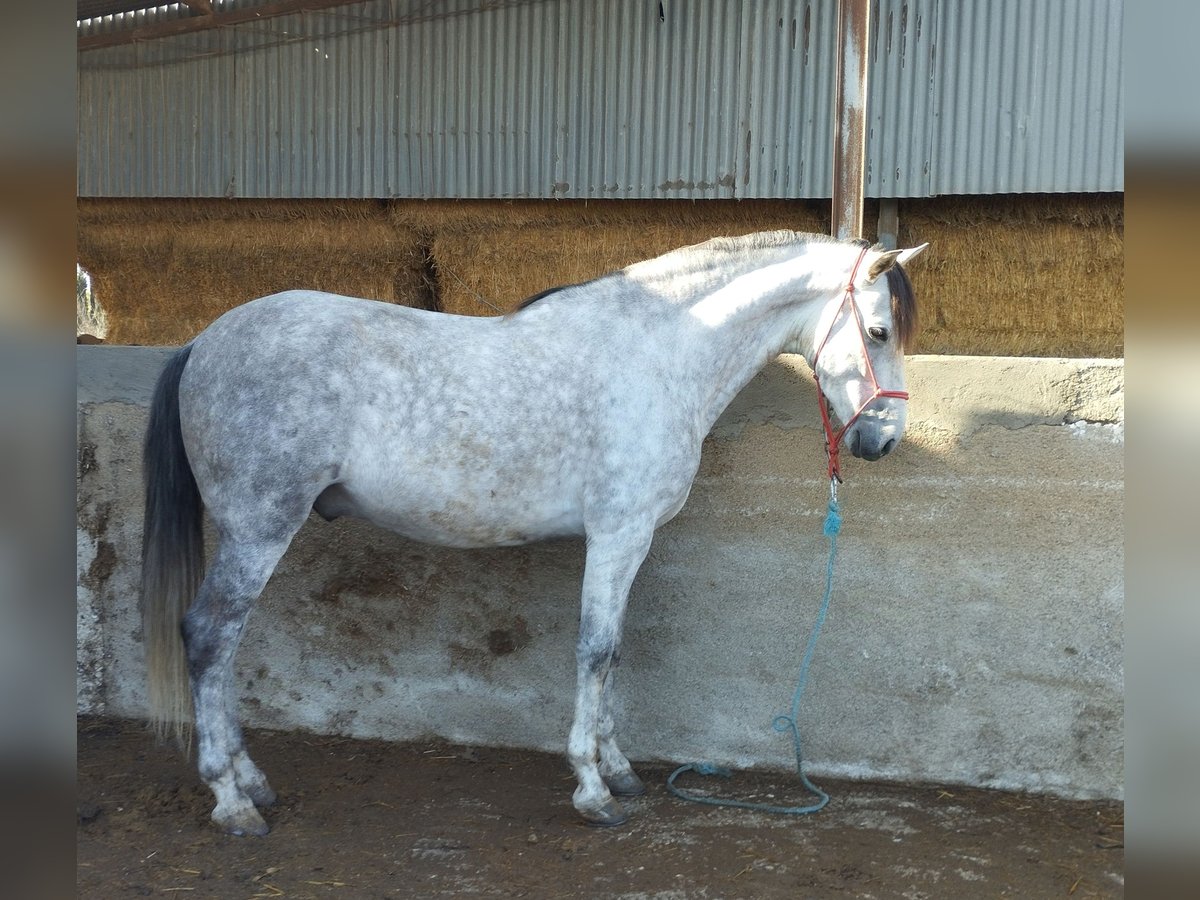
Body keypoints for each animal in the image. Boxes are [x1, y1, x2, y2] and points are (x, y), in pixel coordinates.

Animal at [142, 232, 926, 840]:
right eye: (879, 332)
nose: (884, 441)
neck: (663, 351)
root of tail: (202, 341)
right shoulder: (616, 535)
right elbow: (596, 651)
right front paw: (593, 791)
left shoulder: (630, 542)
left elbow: (616, 652)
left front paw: (619, 771)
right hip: (259, 527)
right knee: (209, 638)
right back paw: (233, 802)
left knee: (225, 647)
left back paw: (253, 782)